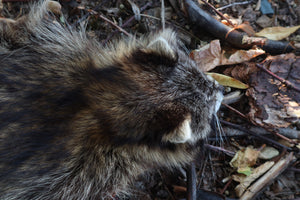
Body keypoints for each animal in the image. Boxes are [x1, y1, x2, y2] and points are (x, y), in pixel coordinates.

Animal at [0, 0, 223, 199]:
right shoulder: (86, 174)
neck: (100, 100)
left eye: (204, 80)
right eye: (209, 105)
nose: (221, 88)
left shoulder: (55, 50)